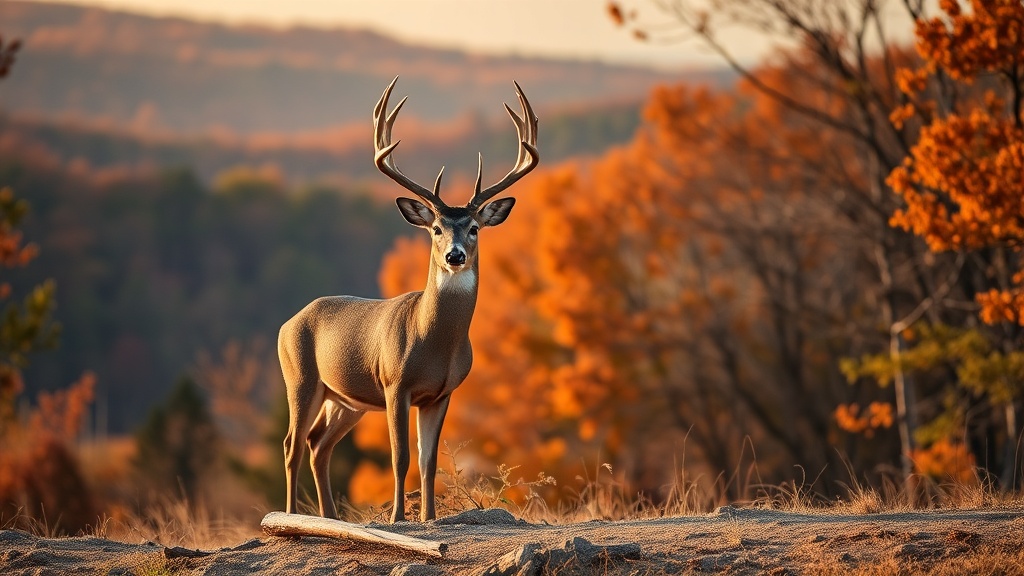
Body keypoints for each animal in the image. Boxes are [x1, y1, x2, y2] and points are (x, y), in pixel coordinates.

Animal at [277, 77, 539, 523]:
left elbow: (428, 459)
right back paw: (292, 517)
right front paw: (400, 518)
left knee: (318, 445)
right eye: (435, 228)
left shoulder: (442, 393)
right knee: (292, 445)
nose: (455, 255)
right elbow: (400, 457)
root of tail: (288, 322)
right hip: (301, 378)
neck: (433, 341)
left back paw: (329, 518)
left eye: (474, 228)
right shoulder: (394, 383)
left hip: (346, 400)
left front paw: (429, 517)